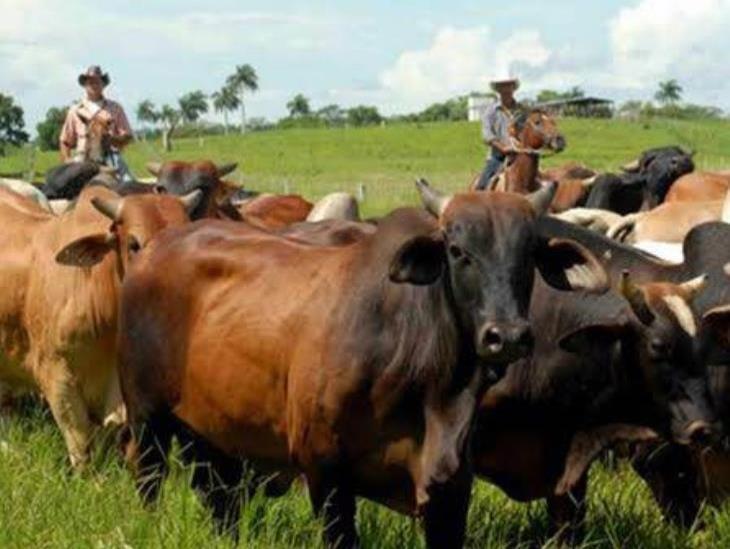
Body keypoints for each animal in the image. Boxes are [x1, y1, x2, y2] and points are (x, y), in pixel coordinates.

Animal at [119, 181, 604, 544]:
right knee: (148, 481)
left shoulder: (450, 485)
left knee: (220, 498)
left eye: (530, 254)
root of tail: (155, 248)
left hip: (212, 435)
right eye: (457, 250)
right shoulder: (324, 470)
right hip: (146, 421)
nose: (508, 336)